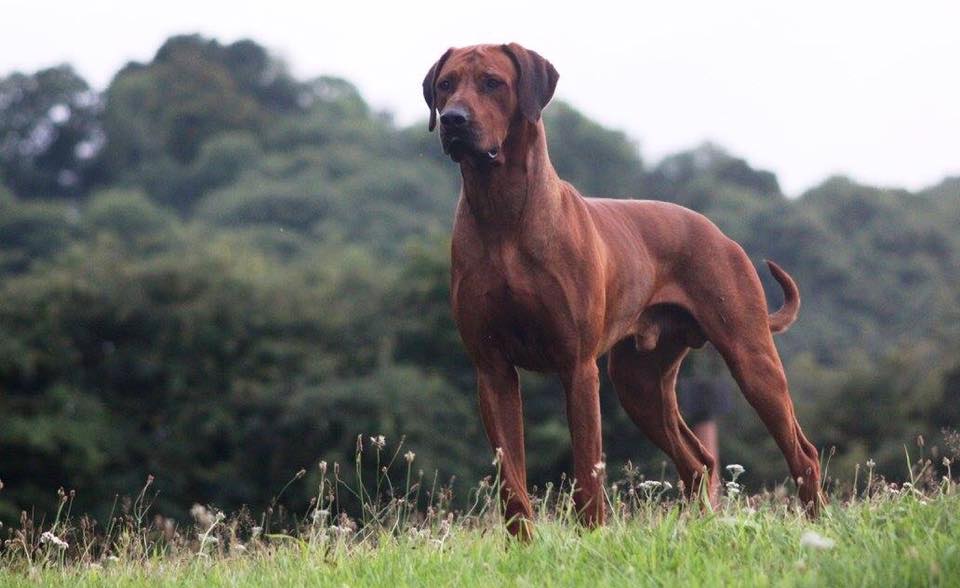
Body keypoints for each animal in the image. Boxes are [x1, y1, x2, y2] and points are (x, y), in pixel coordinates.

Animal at [424, 41, 820, 536]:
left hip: (751, 358)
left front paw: (591, 537)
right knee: (698, 461)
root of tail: (720, 234)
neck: (503, 212)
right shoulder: (492, 369)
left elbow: (587, 471)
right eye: (445, 84)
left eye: (493, 82)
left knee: (802, 453)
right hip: (639, 382)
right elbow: (511, 480)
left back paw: (819, 527)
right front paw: (523, 544)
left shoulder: (577, 367)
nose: (453, 119)